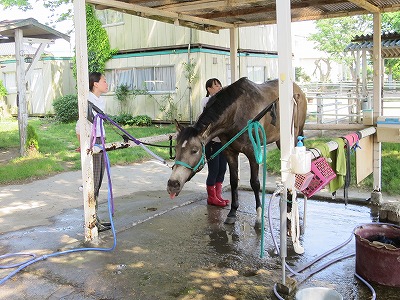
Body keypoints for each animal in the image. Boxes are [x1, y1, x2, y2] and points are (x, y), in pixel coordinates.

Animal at [166, 77, 306, 225]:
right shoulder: (230, 153)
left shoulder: (253, 153)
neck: (236, 114)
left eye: (194, 150)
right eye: (175, 148)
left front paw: (259, 214)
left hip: (294, 137)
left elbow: (255, 183)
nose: (172, 184)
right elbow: (233, 182)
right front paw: (232, 212)